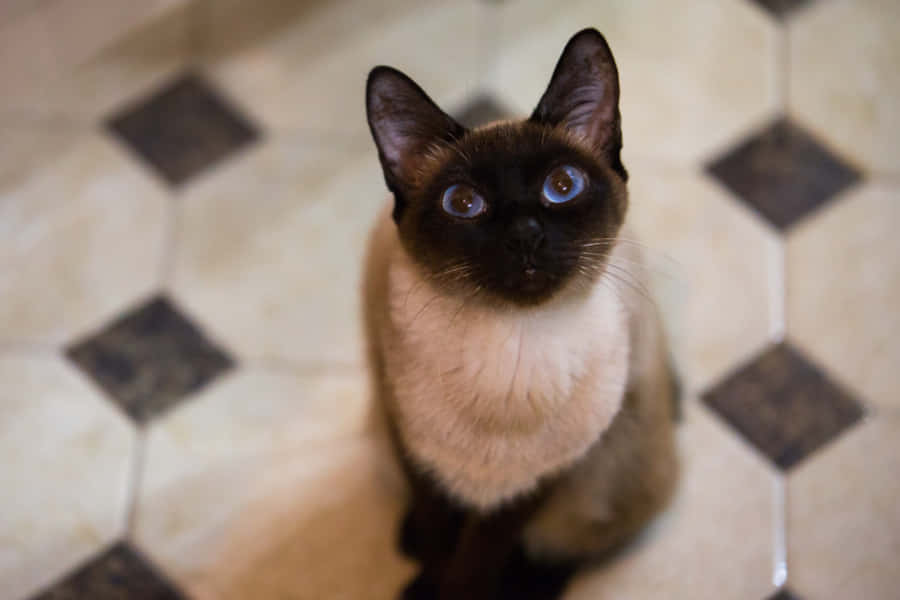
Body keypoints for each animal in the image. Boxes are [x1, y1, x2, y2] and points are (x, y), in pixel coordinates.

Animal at [362, 28, 680, 600]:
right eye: (463, 203)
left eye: (563, 187)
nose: (525, 235)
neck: (510, 346)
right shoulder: (418, 454)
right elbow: (440, 534)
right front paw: (427, 580)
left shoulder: (536, 483)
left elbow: (477, 560)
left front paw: (455, 591)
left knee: (571, 548)